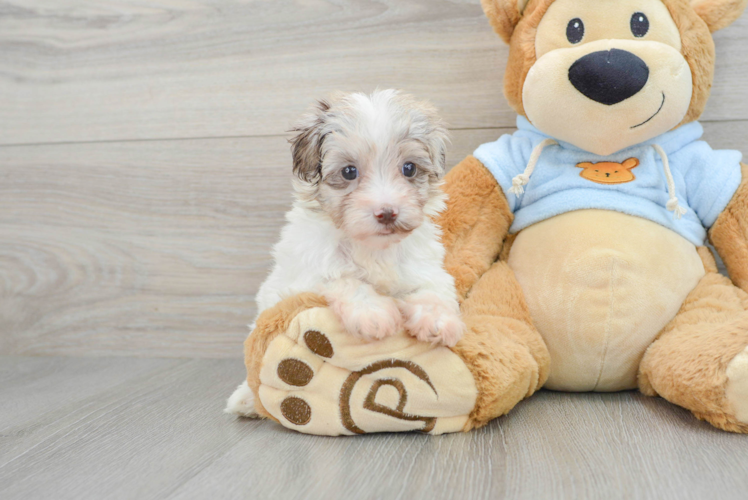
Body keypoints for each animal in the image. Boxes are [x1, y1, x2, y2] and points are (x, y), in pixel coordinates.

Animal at [225, 91, 464, 418]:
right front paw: (373, 313)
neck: (372, 247)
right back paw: (246, 399)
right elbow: (342, 279)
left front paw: (437, 320)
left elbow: (432, 289)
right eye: (349, 172)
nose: (387, 212)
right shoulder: (307, 272)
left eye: (409, 168)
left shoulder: (423, 265)